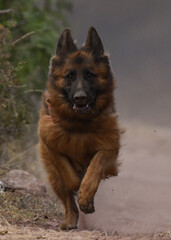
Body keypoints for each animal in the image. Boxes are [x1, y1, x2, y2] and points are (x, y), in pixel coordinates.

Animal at [38, 26, 120, 231]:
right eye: (70, 76)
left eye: (90, 75)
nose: (80, 98)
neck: (79, 123)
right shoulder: (51, 144)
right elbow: (69, 176)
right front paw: (79, 187)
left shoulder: (109, 148)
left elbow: (94, 167)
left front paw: (85, 194)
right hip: (53, 176)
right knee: (67, 200)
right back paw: (70, 220)